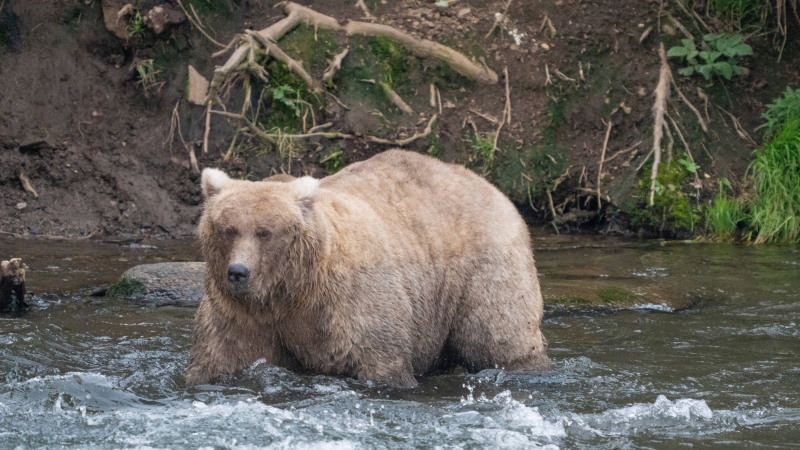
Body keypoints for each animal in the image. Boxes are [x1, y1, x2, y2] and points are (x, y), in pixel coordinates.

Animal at [186, 150, 552, 386]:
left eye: (265, 232)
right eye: (228, 229)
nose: (238, 272)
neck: (291, 291)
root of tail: (491, 187)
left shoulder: (350, 302)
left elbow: (379, 358)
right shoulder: (241, 314)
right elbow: (221, 356)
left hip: (482, 270)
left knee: (498, 336)